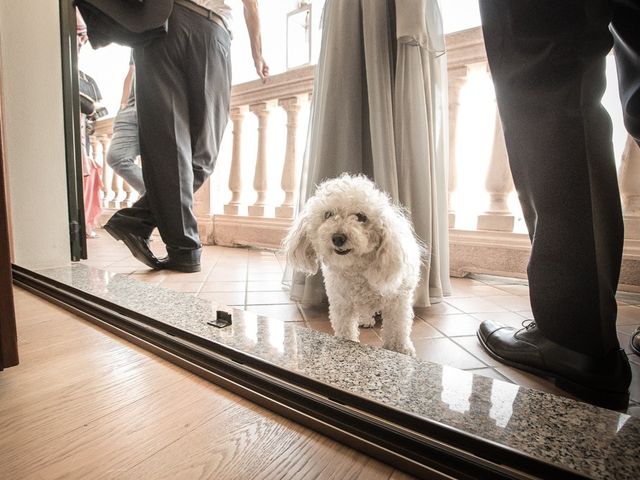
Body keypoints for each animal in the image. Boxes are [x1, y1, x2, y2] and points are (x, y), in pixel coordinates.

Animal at [282, 174, 422, 354]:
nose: (338, 238)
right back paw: (365, 319)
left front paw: (401, 349)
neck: (357, 270)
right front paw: (346, 344)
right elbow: (345, 329)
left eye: (361, 217)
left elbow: (397, 328)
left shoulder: (397, 300)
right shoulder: (341, 303)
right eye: (328, 214)